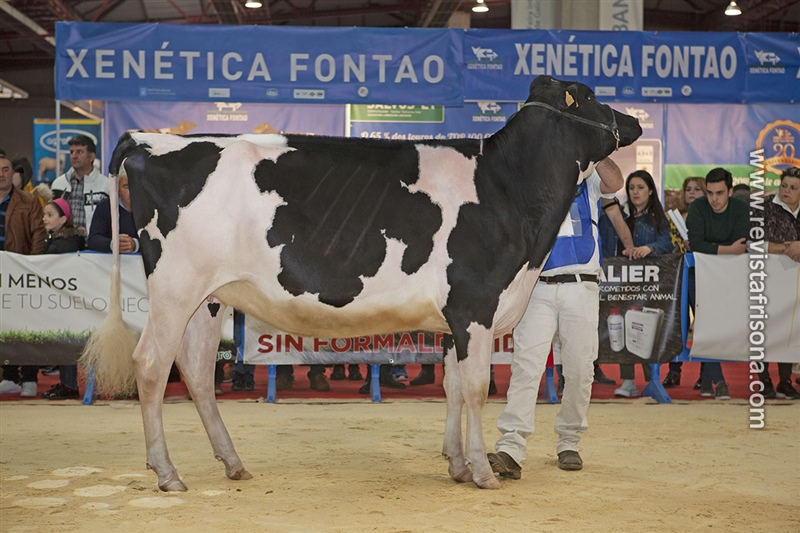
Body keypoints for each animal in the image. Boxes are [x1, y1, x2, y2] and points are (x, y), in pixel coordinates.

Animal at [83, 74, 644, 490]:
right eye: (589, 95)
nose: (635, 120)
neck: (507, 187)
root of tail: (151, 140)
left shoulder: (455, 318)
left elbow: (453, 387)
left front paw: (458, 465)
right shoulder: (476, 304)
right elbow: (478, 388)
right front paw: (484, 471)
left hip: (209, 298)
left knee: (197, 371)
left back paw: (233, 463)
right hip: (175, 288)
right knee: (151, 365)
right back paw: (167, 473)